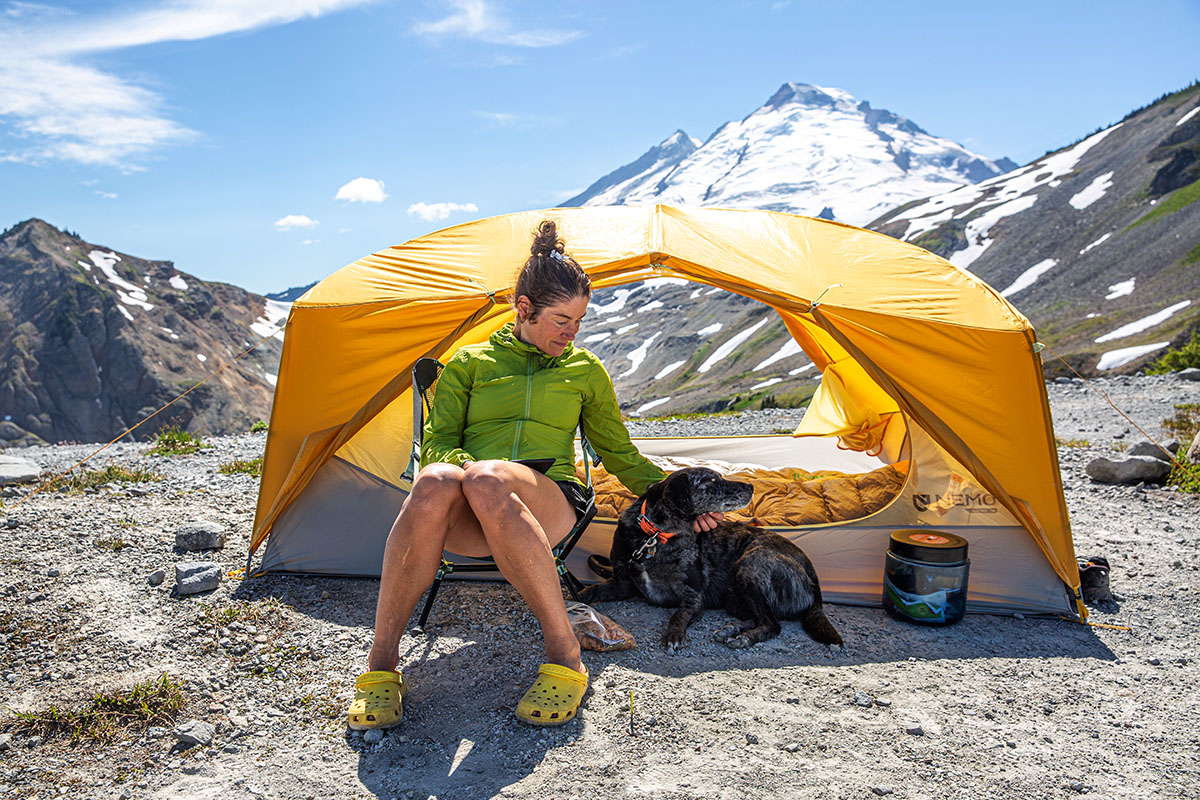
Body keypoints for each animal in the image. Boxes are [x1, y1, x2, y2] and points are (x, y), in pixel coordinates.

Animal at [580, 470, 844, 652]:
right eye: (713, 481)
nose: (751, 486)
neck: (655, 536)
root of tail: (814, 582)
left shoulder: (693, 595)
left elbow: (678, 615)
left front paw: (674, 635)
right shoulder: (622, 583)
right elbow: (592, 591)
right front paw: (576, 599)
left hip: (750, 565)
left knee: (773, 623)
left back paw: (743, 637)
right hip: (734, 596)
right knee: (760, 617)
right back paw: (732, 629)